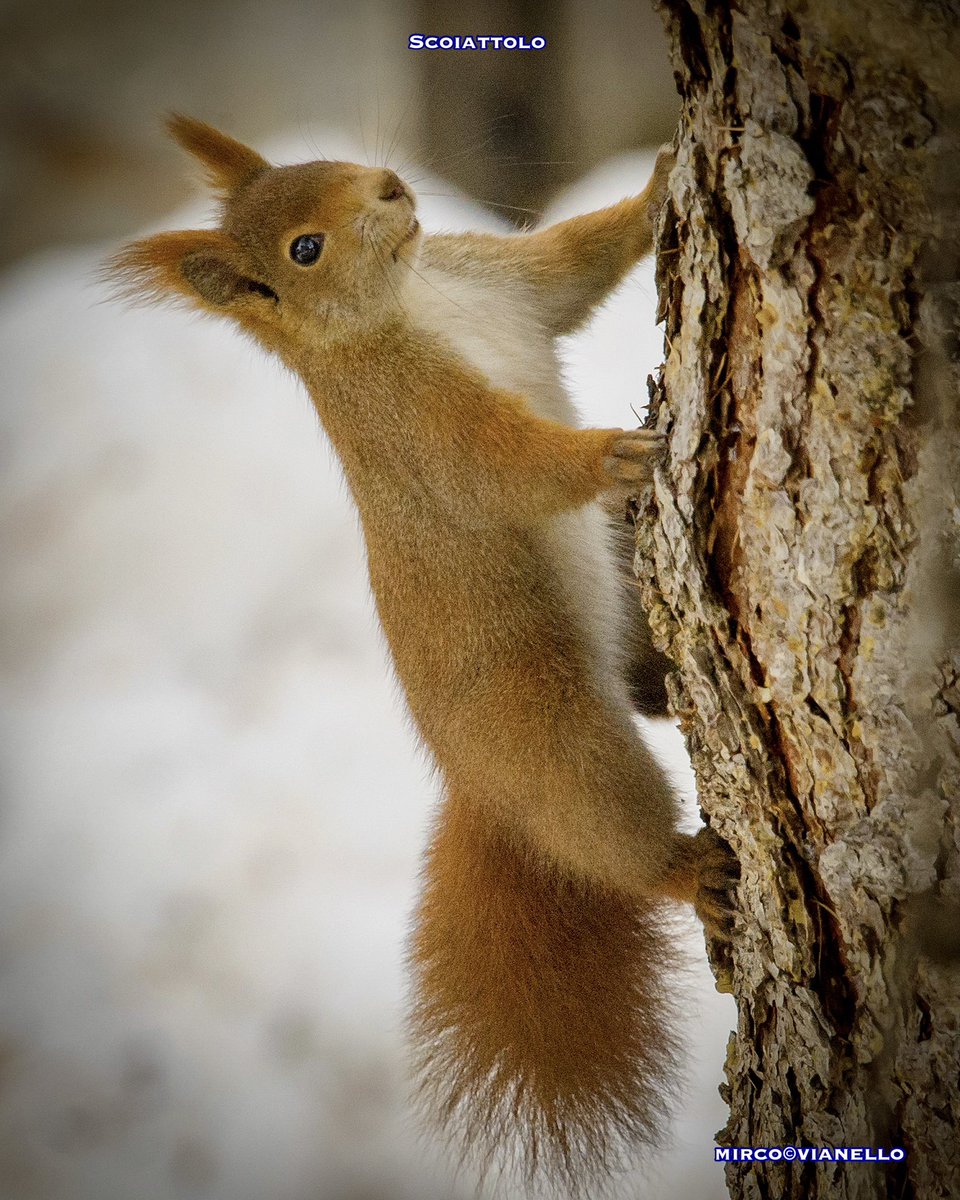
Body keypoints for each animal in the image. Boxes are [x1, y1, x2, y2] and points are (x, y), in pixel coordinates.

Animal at [109, 115, 739, 1193]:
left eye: (319, 165)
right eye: (304, 250)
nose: (392, 188)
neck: (413, 297)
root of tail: (481, 791)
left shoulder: (505, 279)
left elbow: (573, 263)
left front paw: (662, 184)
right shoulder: (427, 434)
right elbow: (510, 468)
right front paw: (610, 455)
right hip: (547, 725)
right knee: (604, 826)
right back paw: (683, 870)